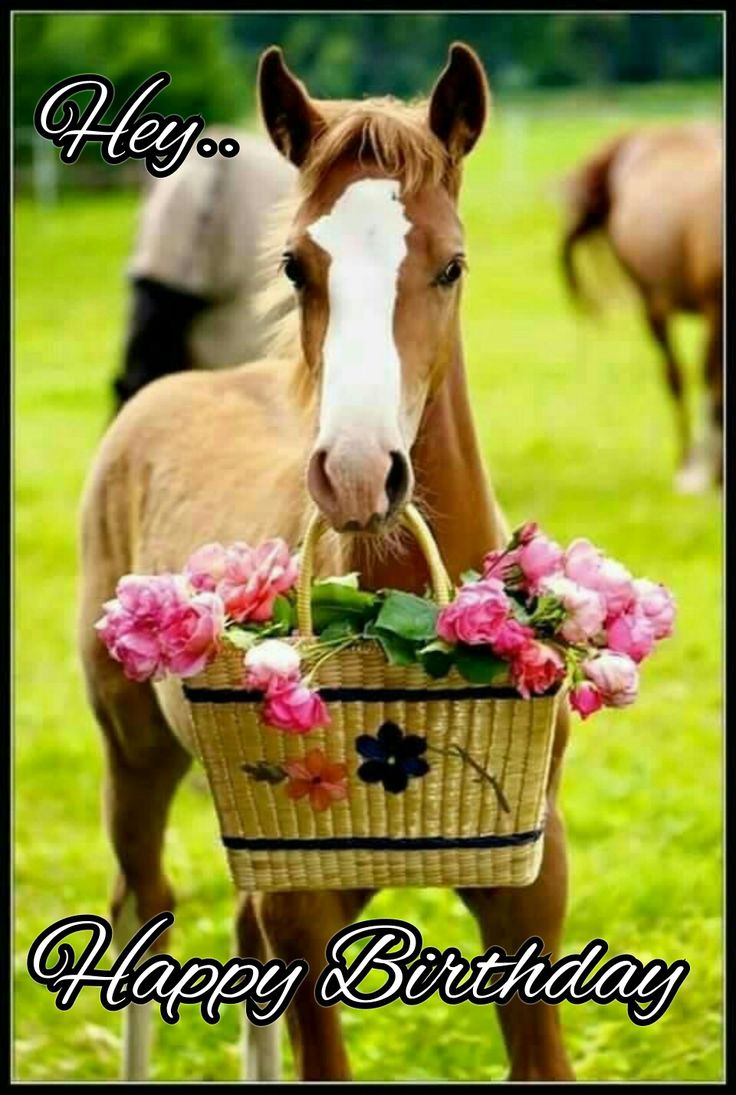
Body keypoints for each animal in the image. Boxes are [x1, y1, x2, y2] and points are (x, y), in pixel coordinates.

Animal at [78, 40, 573, 1077]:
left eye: (452, 264)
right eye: (293, 264)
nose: (355, 471)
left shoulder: (529, 889)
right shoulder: (305, 905)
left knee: (234, 930)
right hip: (133, 754)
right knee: (144, 905)